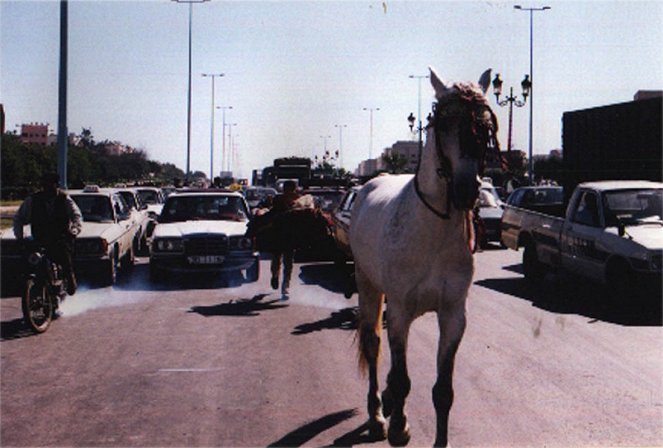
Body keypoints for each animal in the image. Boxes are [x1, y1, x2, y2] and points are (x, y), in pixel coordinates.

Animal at [352, 68, 498, 446]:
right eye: (443, 122)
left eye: (485, 126)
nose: (467, 189)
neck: (433, 231)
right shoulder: (400, 311)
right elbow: (402, 378)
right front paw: (399, 427)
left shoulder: (453, 316)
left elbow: (443, 391)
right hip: (367, 283)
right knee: (373, 344)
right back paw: (378, 415)